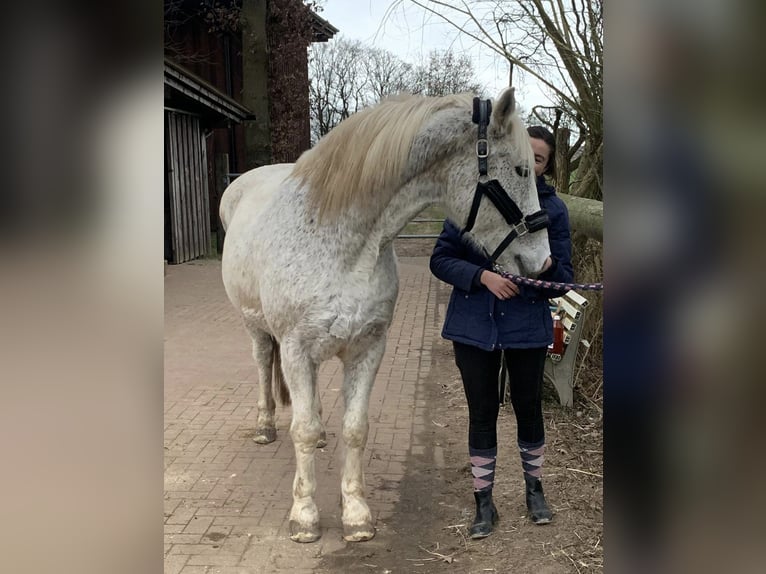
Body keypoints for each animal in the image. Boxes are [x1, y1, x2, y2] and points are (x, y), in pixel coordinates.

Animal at [222, 89, 552, 544]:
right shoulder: (294, 349)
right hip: (257, 329)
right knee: (262, 364)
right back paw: (265, 425)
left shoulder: (368, 348)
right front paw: (304, 516)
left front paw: (356, 514)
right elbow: (301, 430)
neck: (341, 241)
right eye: (521, 169)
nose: (543, 262)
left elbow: (354, 428)